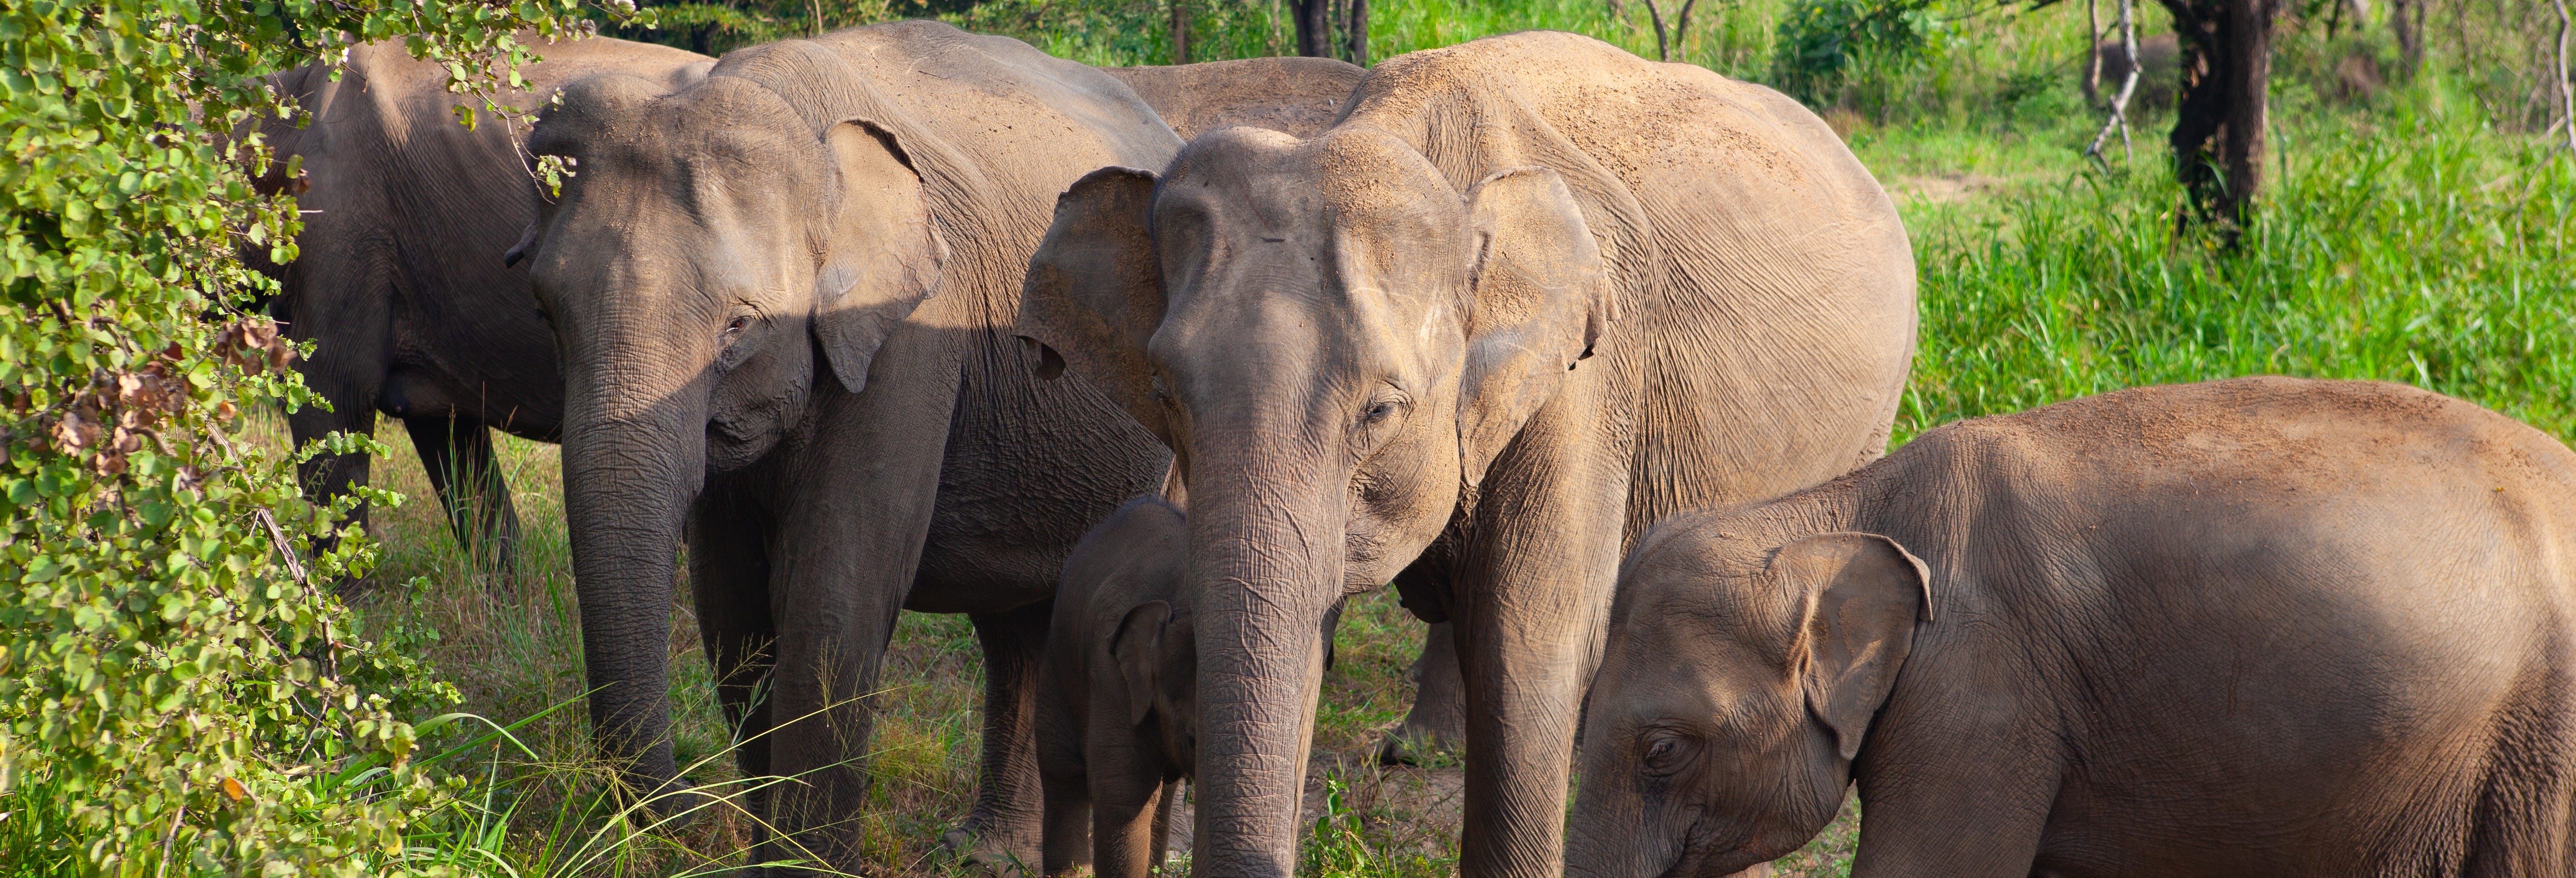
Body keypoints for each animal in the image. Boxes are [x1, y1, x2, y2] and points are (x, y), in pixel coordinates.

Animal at [512, 24, 1370, 865]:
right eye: (545, 312)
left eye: (739, 328)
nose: (685, 809)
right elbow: (734, 611)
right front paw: (768, 850)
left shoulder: (912, 333)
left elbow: (835, 589)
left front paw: (802, 862)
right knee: (1020, 622)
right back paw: (985, 851)